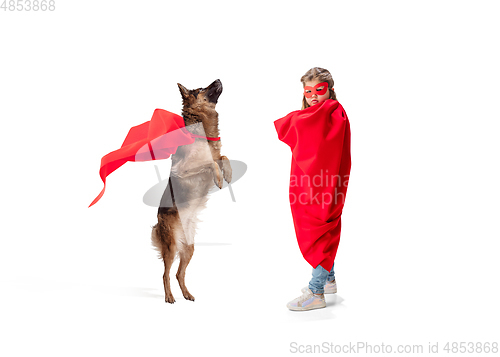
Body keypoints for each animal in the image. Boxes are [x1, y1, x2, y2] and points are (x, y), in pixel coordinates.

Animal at [150, 79, 232, 302]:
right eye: (201, 89)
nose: (219, 79)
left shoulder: (217, 155)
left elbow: (222, 157)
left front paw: (228, 175)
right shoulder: (186, 169)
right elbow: (209, 163)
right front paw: (219, 179)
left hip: (189, 248)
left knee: (179, 273)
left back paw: (187, 294)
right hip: (170, 247)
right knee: (165, 274)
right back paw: (170, 297)